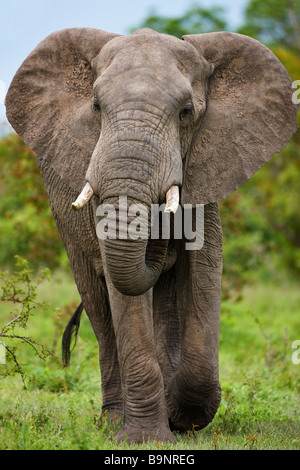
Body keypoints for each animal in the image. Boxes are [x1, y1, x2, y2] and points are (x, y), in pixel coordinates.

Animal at [4, 27, 298, 442]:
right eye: (96, 106)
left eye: (186, 112)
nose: (159, 233)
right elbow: (123, 294)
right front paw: (147, 438)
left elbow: (204, 270)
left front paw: (179, 416)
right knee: (98, 306)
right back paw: (113, 420)